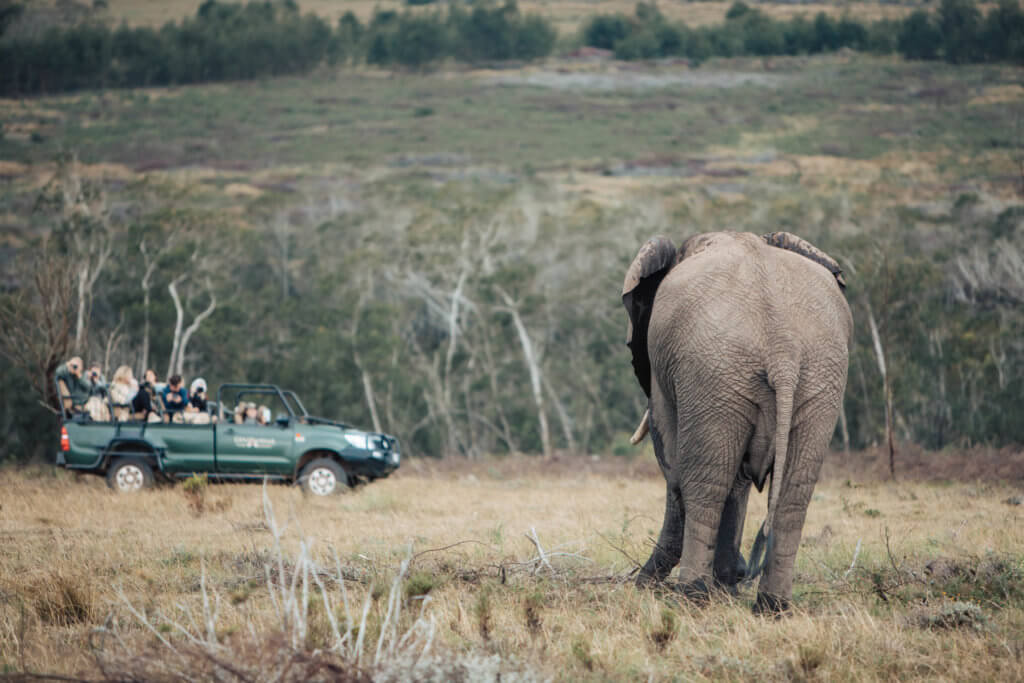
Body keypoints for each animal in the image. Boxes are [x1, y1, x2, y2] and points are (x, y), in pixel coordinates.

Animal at [622, 231, 852, 614]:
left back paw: (691, 598)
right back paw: (772, 607)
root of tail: (783, 347)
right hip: (815, 378)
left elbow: (673, 461)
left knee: (705, 483)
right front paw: (728, 583)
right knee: (793, 495)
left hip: (712, 372)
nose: (636, 583)